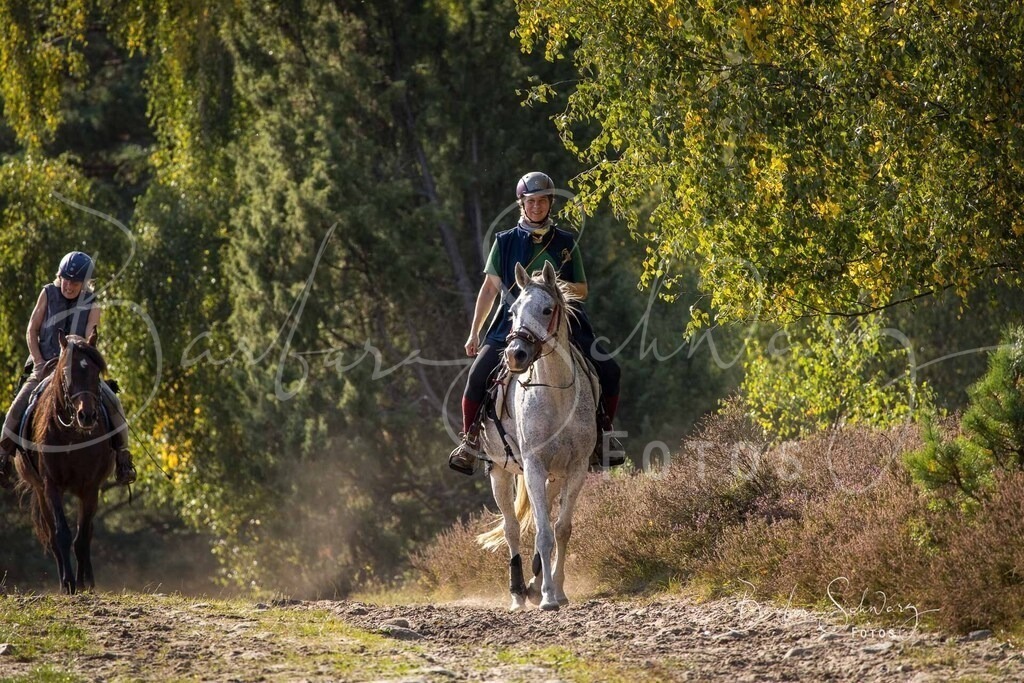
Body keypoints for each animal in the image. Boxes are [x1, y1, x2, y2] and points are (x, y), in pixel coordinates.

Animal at [14, 329, 115, 594]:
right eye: (67, 373)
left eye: (97, 371)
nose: (87, 416)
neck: (71, 435)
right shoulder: (51, 486)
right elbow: (61, 534)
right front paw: (68, 583)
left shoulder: (90, 488)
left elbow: (82, 537)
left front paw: (83, 583)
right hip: (40, 491)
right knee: (51, 534)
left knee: (87, 533)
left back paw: (88, 578)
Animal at [477, 260, 599, 611]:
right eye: (513, 311)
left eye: (546, 310)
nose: (515, 355)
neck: (555, 393)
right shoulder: (532, 465)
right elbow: (542, 531)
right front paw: (546, 598)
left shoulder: (576, 468)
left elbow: (562, 529)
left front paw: (556, 589)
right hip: (500, 472)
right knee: (512, 529)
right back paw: (519, 592)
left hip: (552, 475)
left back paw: (532, 583)